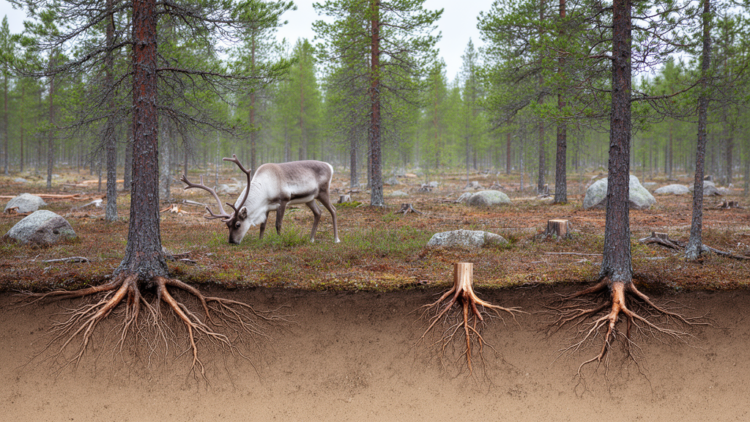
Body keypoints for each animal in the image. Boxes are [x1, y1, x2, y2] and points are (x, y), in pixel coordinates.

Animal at [181, 155, 340, 245]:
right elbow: (263, 225)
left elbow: (278, 224)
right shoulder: (266, 207)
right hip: (310, 198)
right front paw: (260, 240)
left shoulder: (283, 201)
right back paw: (311, 239)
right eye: (227, 225)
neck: (265, 188)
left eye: (238, 224)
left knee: (333, 210)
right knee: (318, 213)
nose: (232, 241)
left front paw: (279, 240)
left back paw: (336, 239)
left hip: (323, 192)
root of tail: (330, 166)